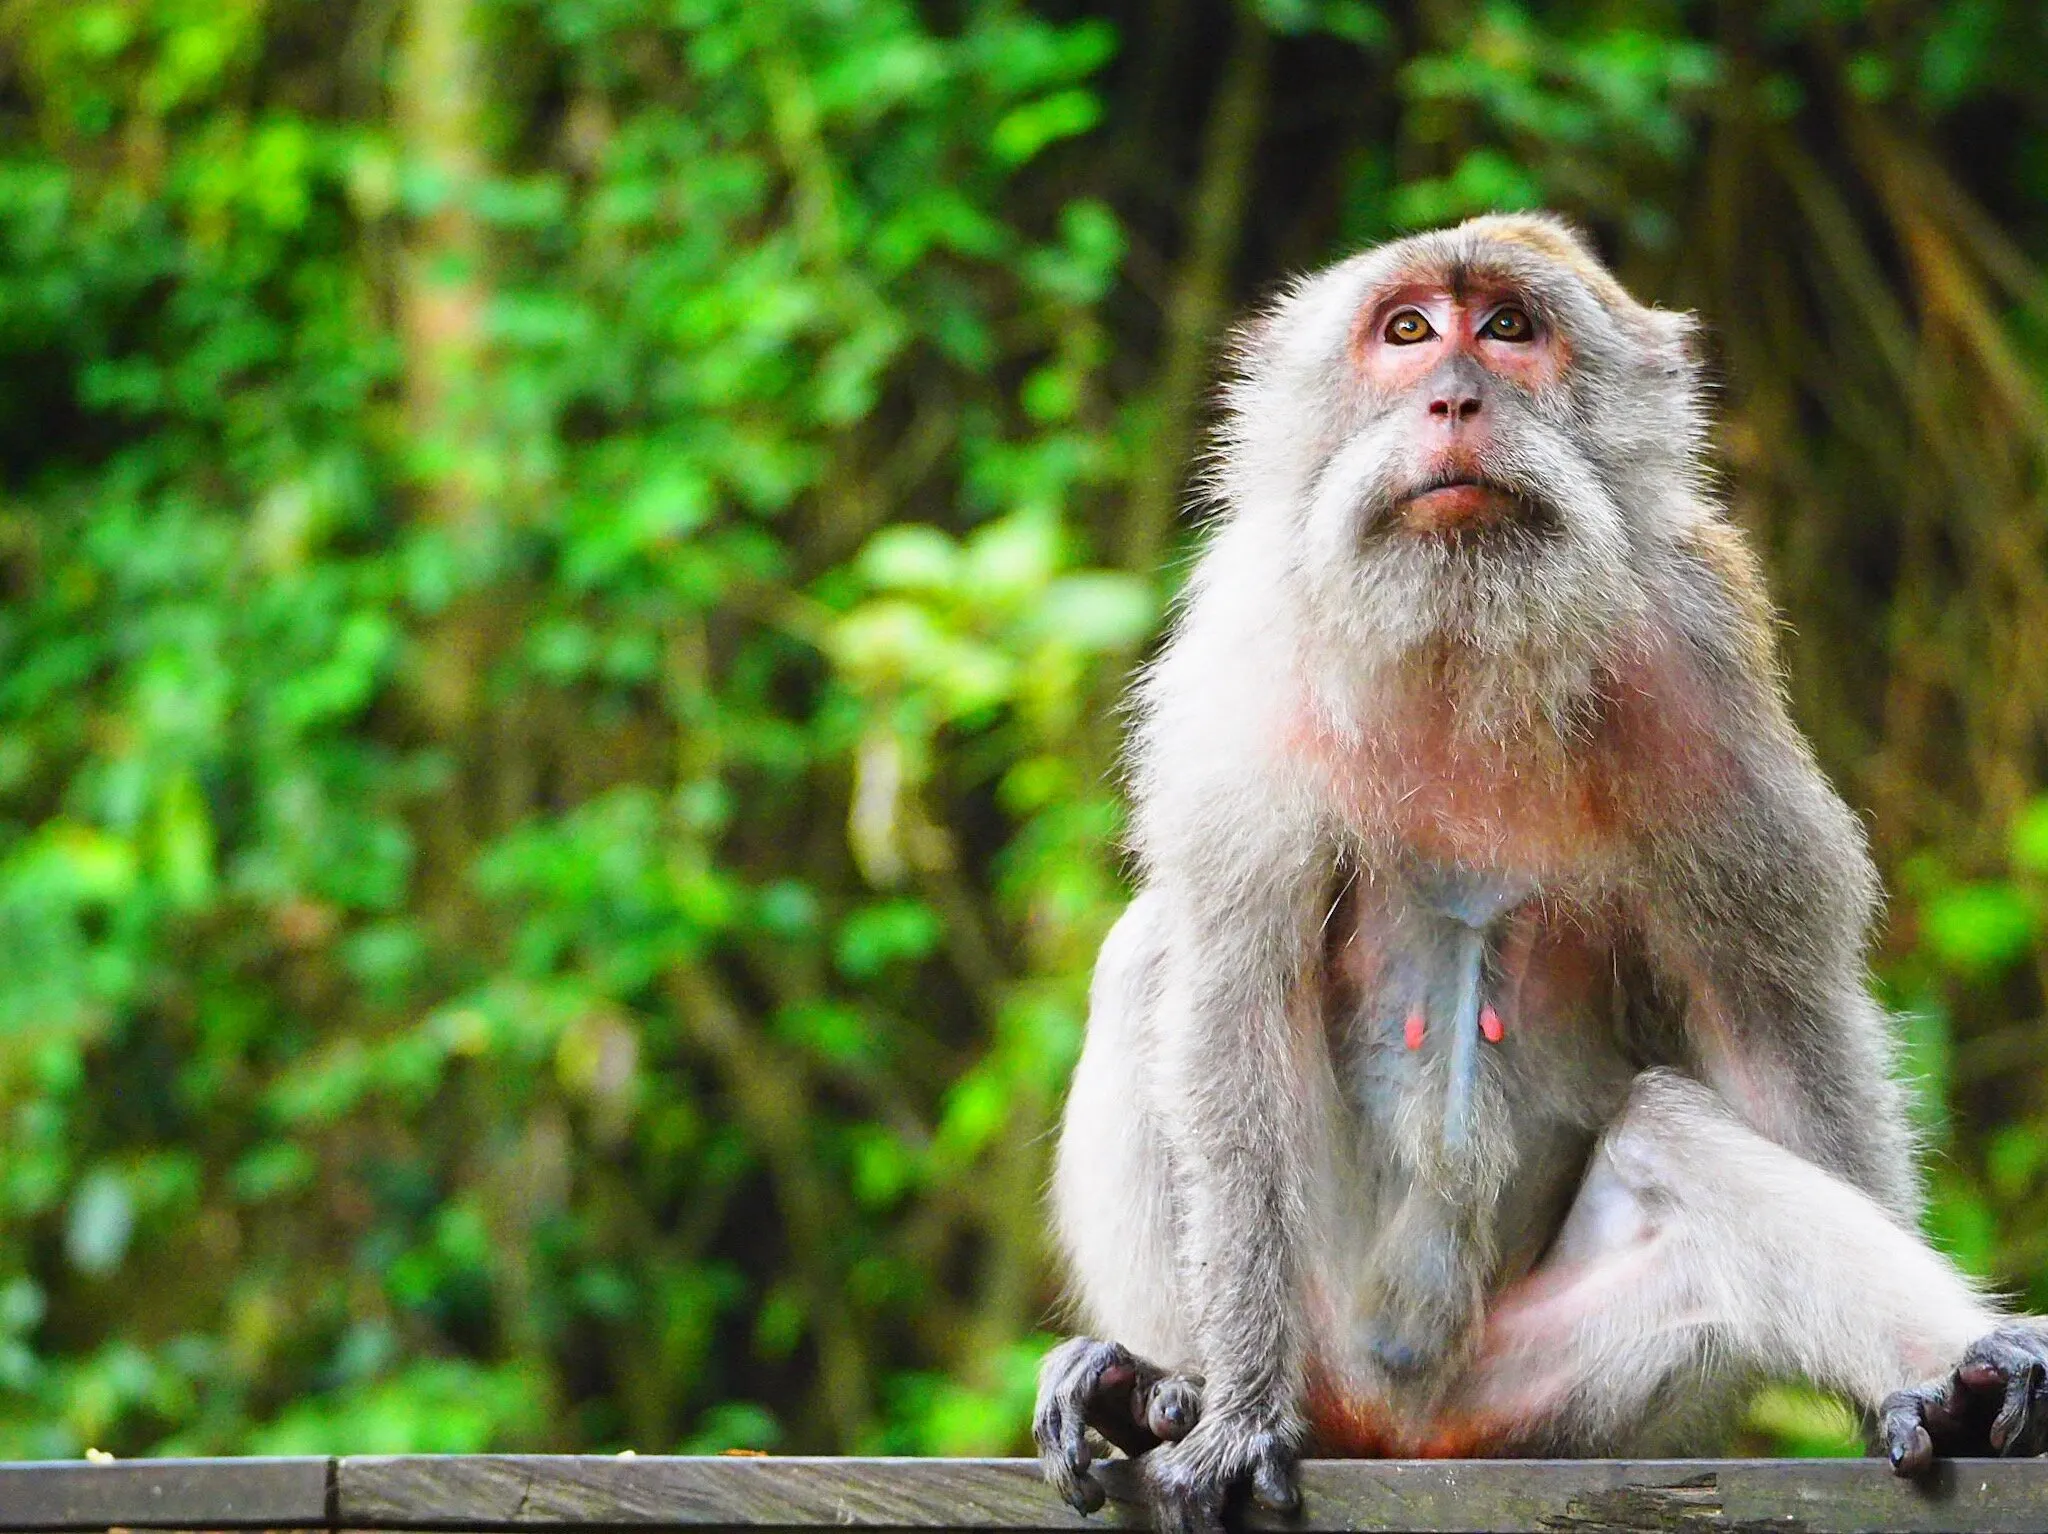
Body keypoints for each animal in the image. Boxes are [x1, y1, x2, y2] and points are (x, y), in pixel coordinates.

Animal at [1031, 213, 2048, 1534]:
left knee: (1673, 1136)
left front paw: (1913, 1389)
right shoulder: (1242, 656)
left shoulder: (1698, 657)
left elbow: (1769, 1015)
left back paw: (1959, 1376)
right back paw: (1160, 1382)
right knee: (1152, 957)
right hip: (1334, 1339)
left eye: (1508, 328)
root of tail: (1405, 1428)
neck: (1463, 632)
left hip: (1560, 1398)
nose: (1454, 397)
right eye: (1408, 330)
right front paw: (1239, 1408)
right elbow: (1229, 993)